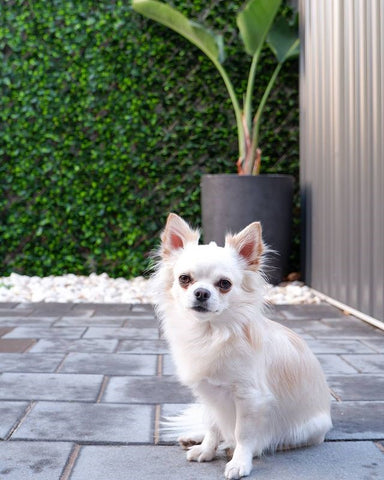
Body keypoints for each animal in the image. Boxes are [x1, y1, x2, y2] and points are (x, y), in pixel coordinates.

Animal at [152, 215, 332, 480]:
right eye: (184, 279)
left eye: (224, 284)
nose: (201, 292)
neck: (210, 334)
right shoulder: (209, 394)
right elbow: (212, 425)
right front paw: (206, 449)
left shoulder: (250, 398)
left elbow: (243, 434)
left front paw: (240, 462)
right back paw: (195, 438)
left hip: (306, 429)